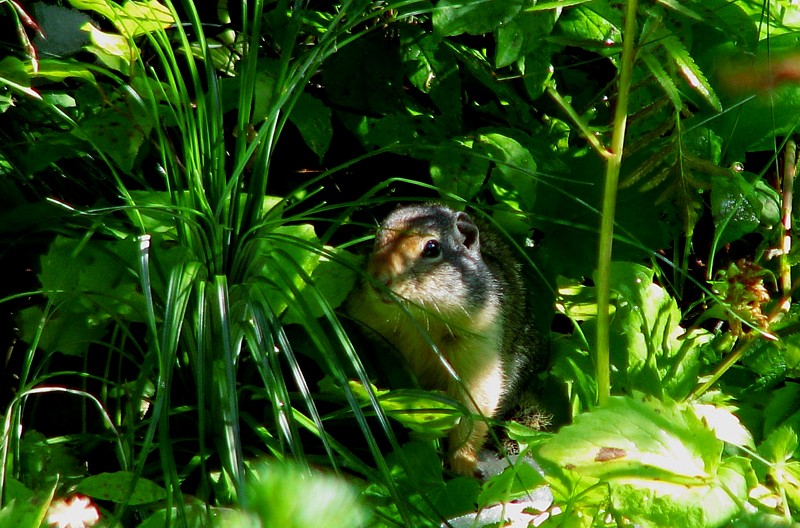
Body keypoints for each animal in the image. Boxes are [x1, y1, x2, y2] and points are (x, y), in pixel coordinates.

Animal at [346, 202, 544, 474]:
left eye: (432, 248)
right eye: (375, 238)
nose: (377, 280)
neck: (419, 316)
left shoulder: (480, 348)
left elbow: (475, 408)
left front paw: (464, 465)